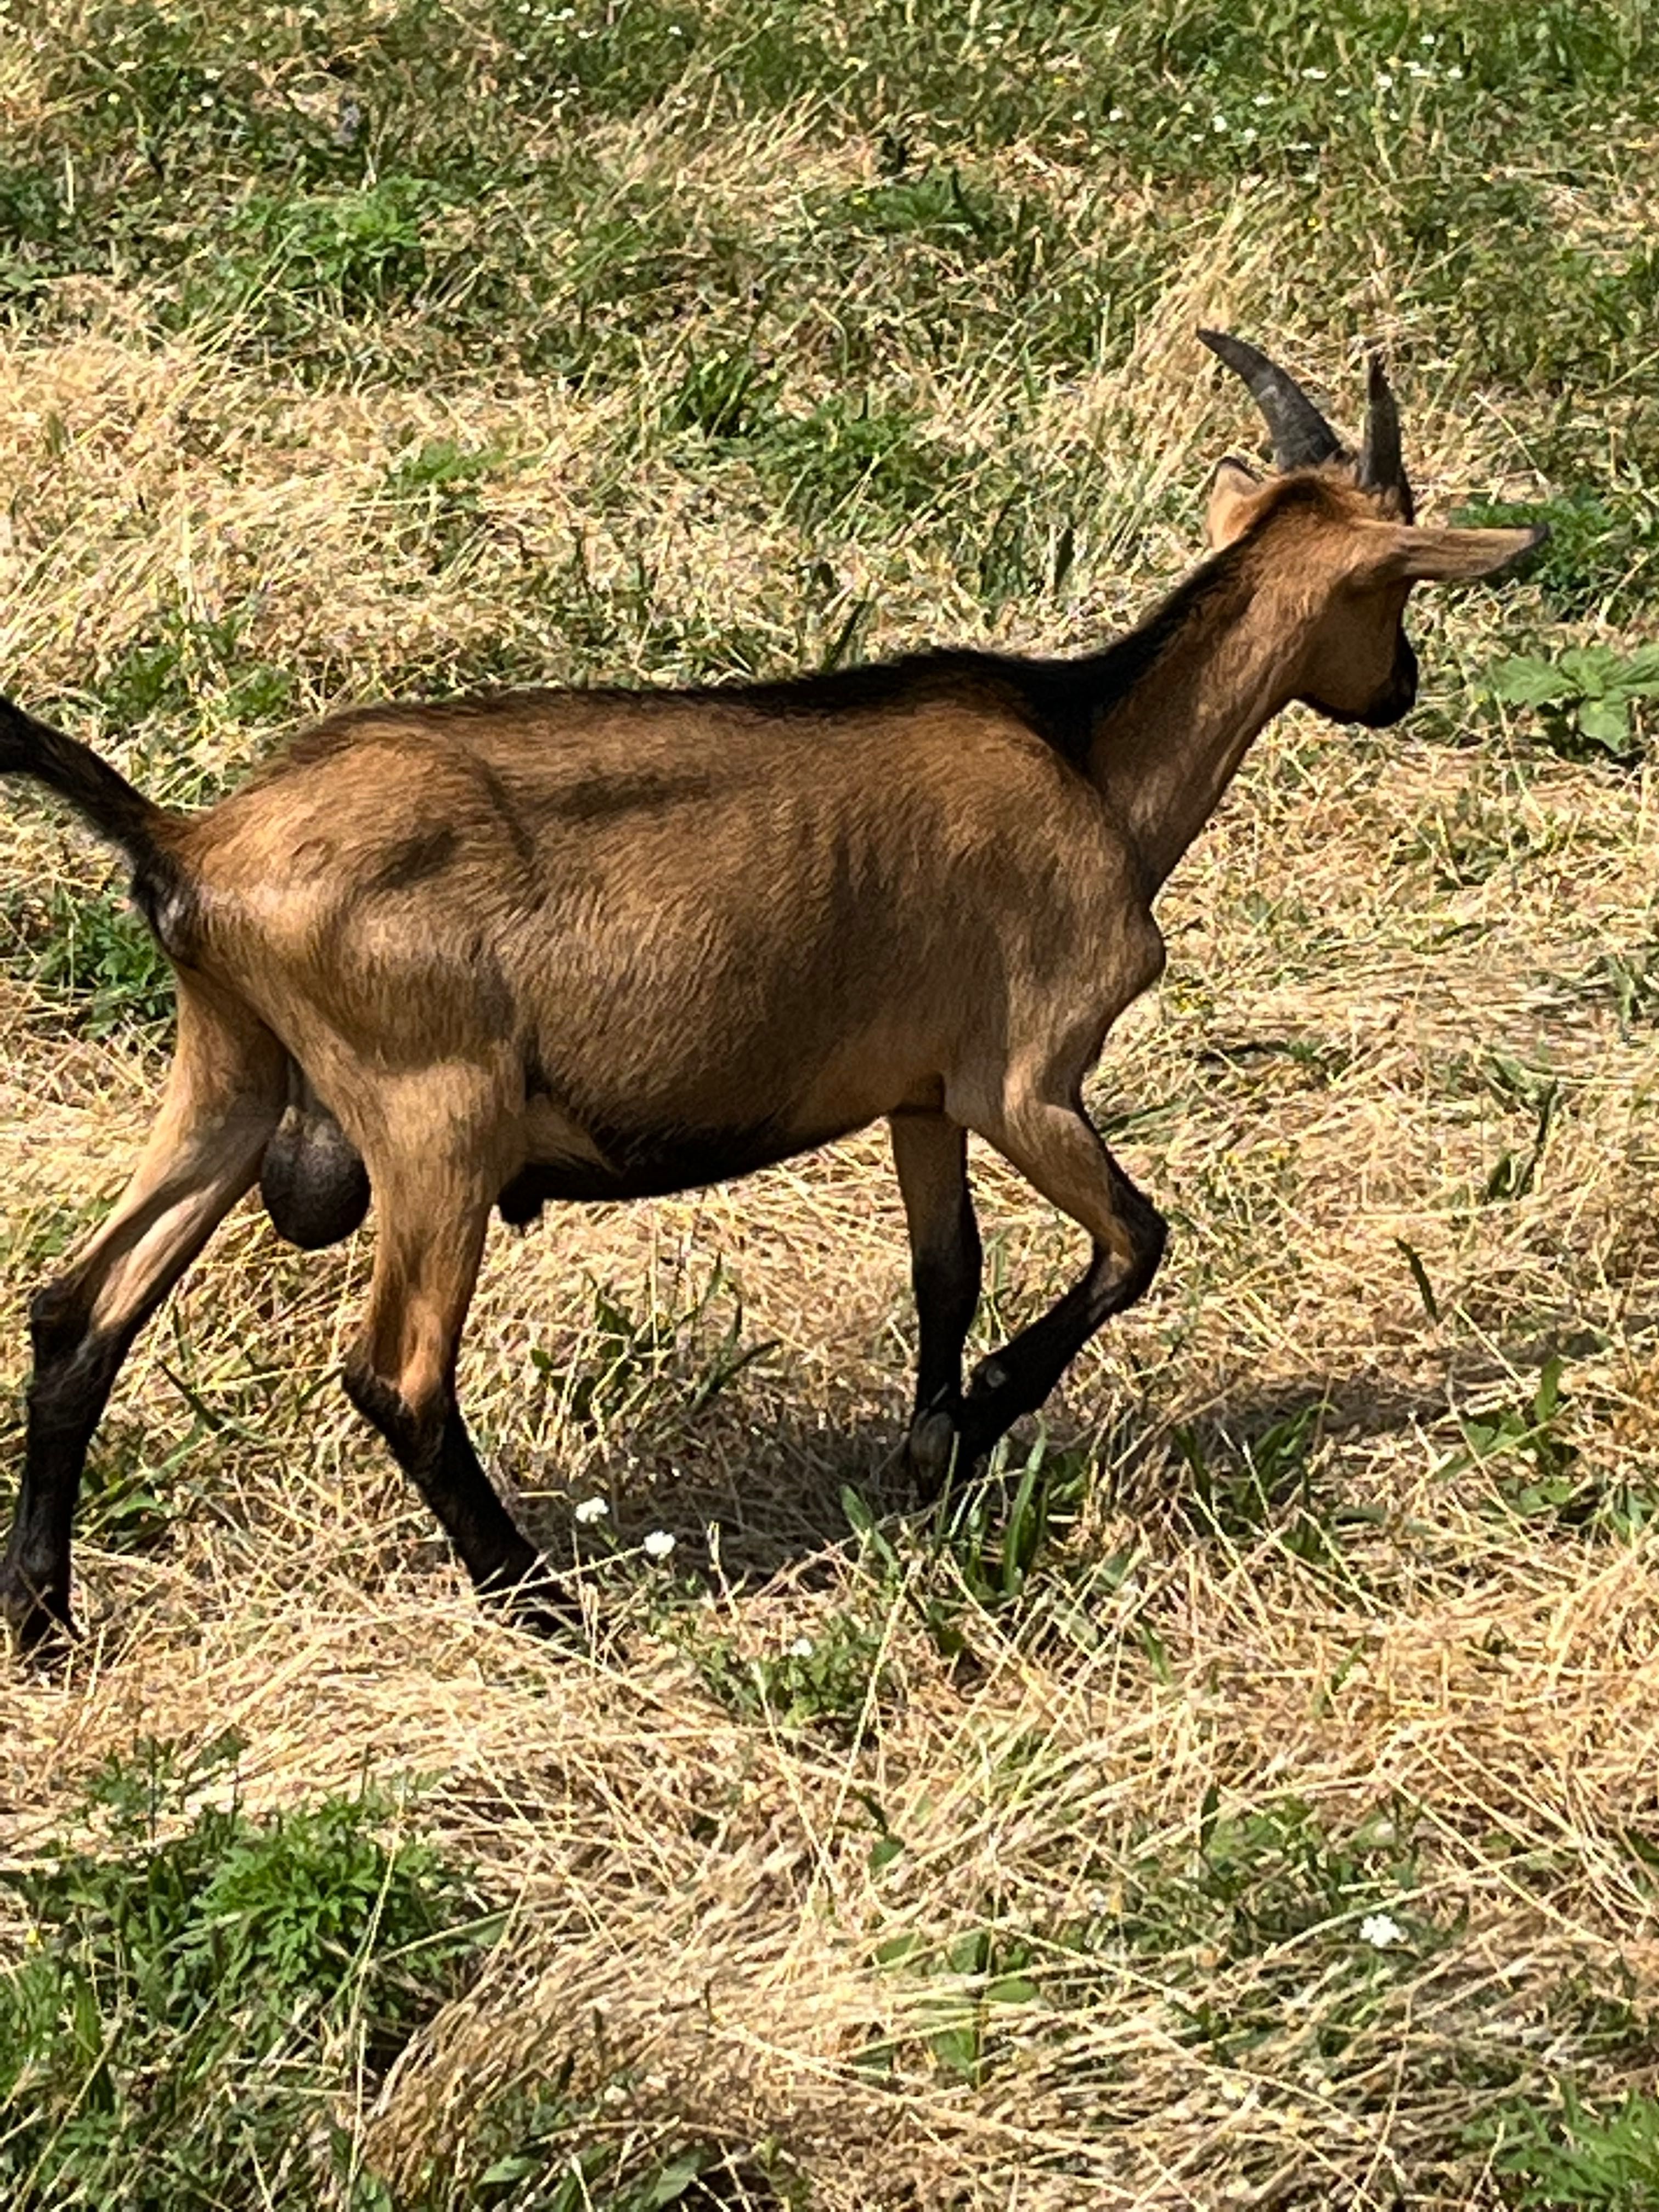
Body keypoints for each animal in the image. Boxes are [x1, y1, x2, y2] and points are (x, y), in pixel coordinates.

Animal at [0, 331, 1548, 1645]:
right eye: (1397, 589)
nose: (1400, 689)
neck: (1090, 754)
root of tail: (194, 846)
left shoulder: (920, 1094)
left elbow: (946, 1273)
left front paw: (928, 1457)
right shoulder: (1027, 1076)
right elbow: (1135, 1242)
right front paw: (975, 1422)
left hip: (233, 1071)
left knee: (80, 1309)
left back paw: (44, 1617)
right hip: (434, 1110)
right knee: (397, 1371)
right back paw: (536, 1601)